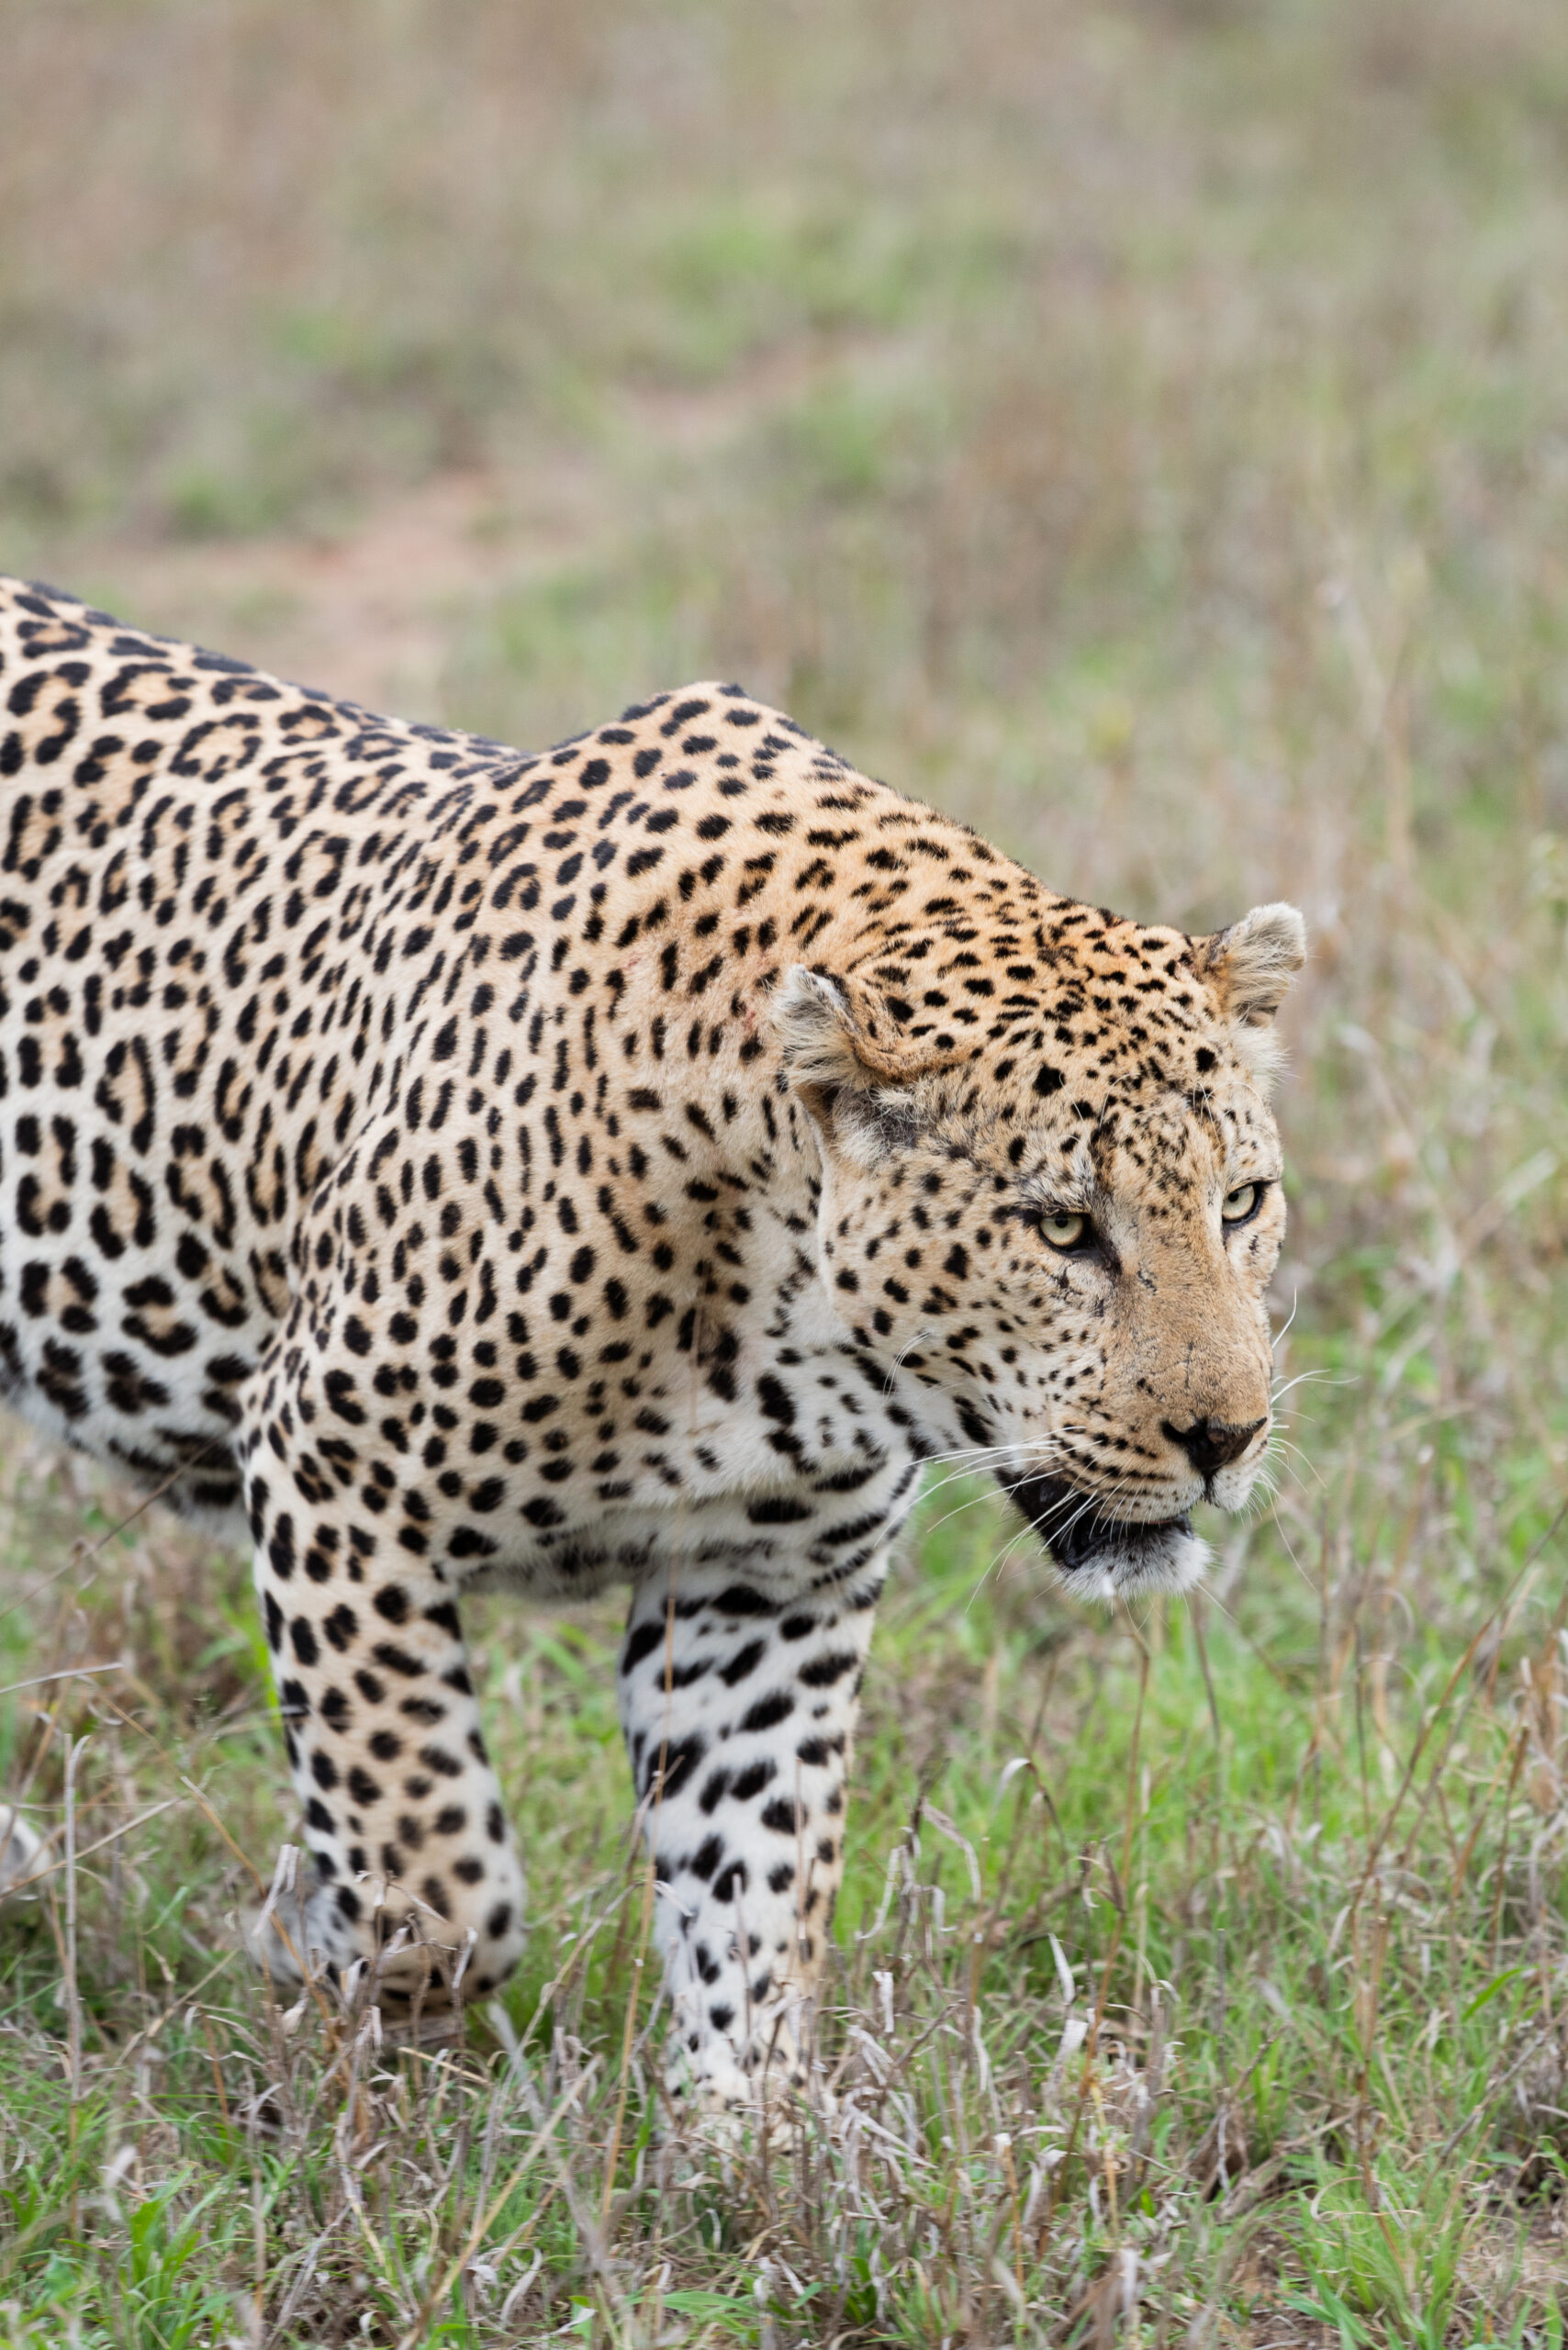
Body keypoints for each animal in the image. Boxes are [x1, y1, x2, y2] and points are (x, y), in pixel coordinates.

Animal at [0, 568, 1306, 2115]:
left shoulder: (766, 1583)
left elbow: (753, 1885)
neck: (782, 1321)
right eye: (1062, 1230)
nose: (1225, 1438)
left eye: (1242, 1203)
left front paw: (749, 2138)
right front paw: (330, 1944)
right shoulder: (331, 1470)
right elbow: (437, 1855)